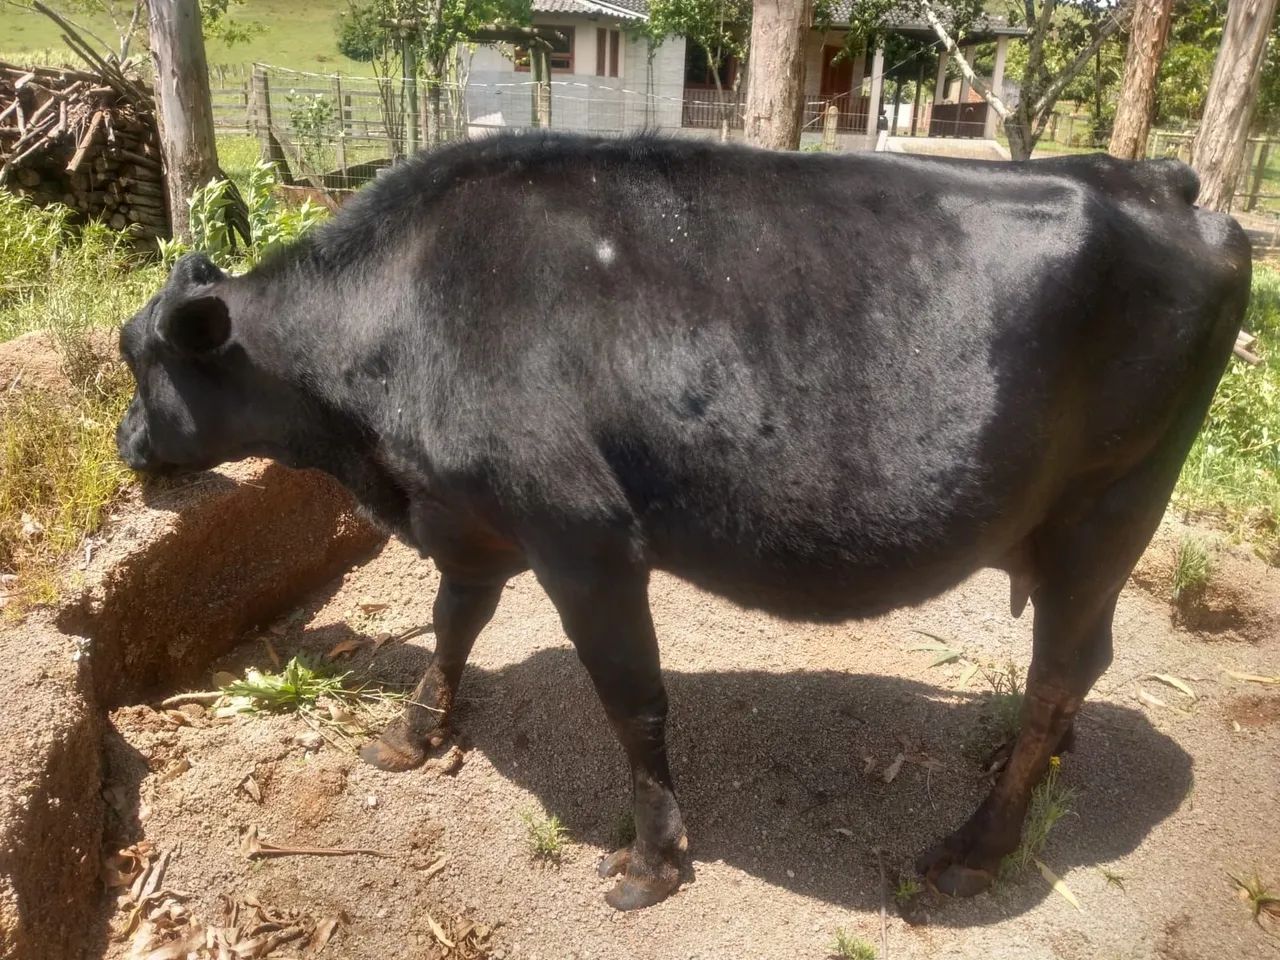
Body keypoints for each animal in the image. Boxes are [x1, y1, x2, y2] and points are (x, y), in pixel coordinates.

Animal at [116, 132, 1251, 911]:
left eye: (143, 360)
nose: (125, 443)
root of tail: (1159, 181)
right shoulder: (469, 515)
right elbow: (452, 623)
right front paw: (414, 732)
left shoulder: (583, 536)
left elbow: (633, 701)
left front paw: (653, 858)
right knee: (1070, 676)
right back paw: (1029, 763)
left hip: (1109, 507)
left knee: (1064, 666)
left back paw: (978, 844)